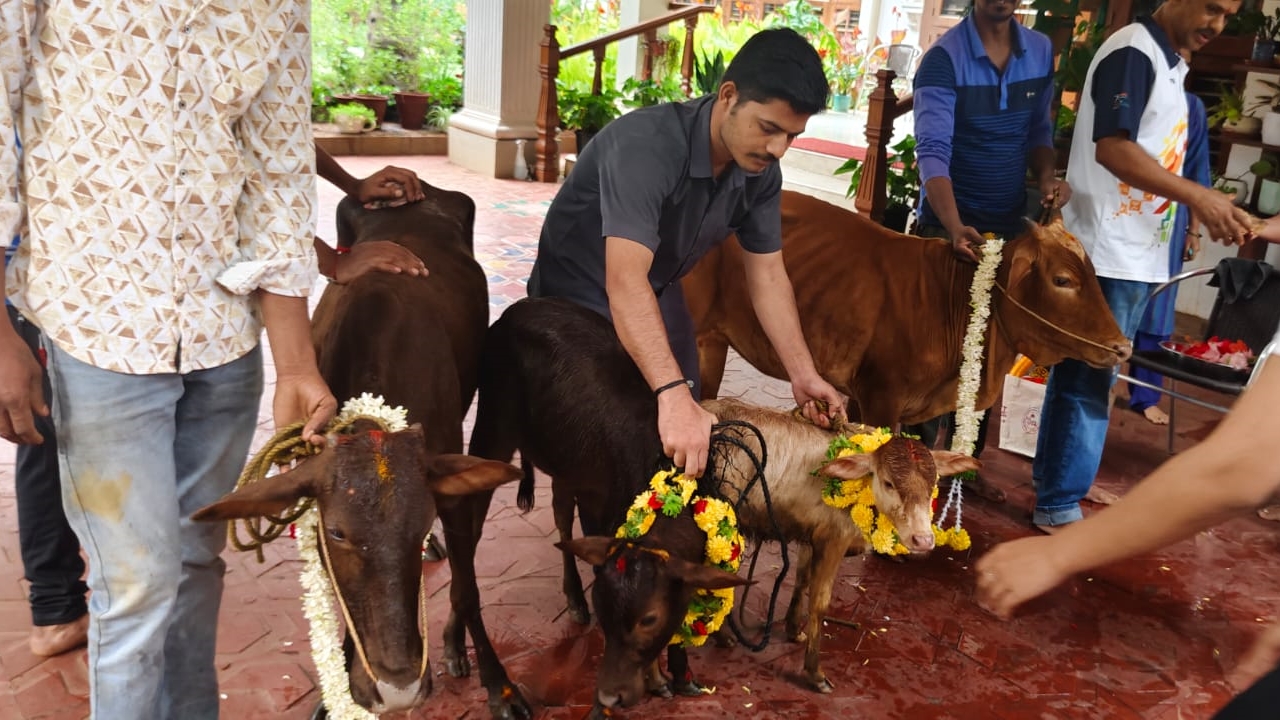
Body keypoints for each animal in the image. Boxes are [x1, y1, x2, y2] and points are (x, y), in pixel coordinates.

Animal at [190, 185, 529, 717]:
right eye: (336, 532)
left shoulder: (450, 487)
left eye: (420, 523)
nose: (399, 687)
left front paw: (499, 684)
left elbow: (468, 586)